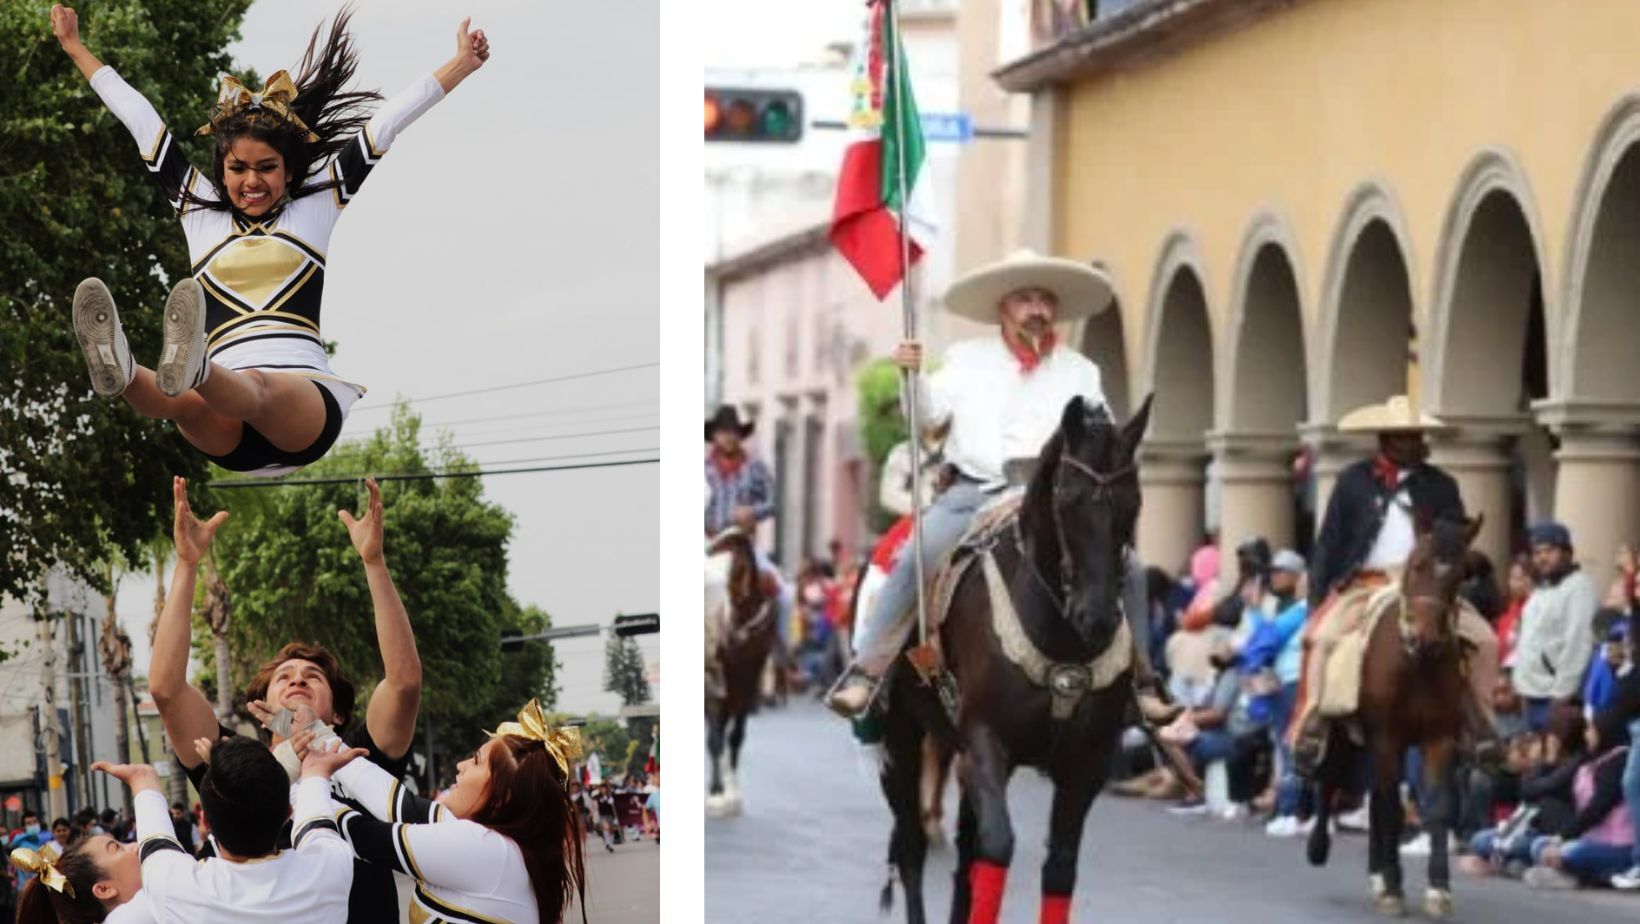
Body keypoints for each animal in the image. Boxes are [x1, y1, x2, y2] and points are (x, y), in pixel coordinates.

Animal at [872, 395, 1154, 924]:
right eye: (1067, 498)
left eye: (1134, 502)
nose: (1098, 617)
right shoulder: (986, 742)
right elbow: (998, 846)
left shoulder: (1085, 763)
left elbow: (1058, 868)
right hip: (900, 738)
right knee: (914, 847)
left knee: (964, 858)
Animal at [1305, 518, 1489, 919]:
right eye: (1417, 565)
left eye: (1460, 575)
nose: (1425, 639)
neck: (1414, 665)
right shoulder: (1386, 736)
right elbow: (1390, 807)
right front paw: (1392, 887)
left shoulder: (1438, 738)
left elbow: (1436, 807)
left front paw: (1437, 888)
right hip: (1344, 733)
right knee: (1331, 780)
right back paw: (1321, 847)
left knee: (1374, 797)